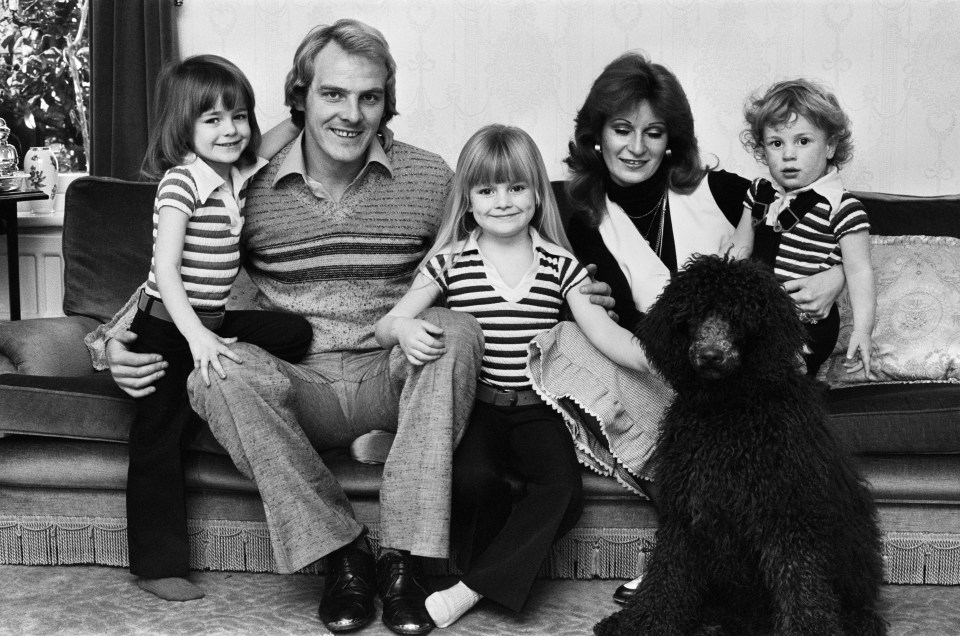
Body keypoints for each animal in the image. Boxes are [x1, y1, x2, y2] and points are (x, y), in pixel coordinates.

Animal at [596, 255, 888, 636]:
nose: (709, 356)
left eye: (740, 317)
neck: (728, 412)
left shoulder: (787, 512)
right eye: (692, 315)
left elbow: (800, 584)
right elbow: (666, 576)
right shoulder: (687, 511)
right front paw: (642, 623)